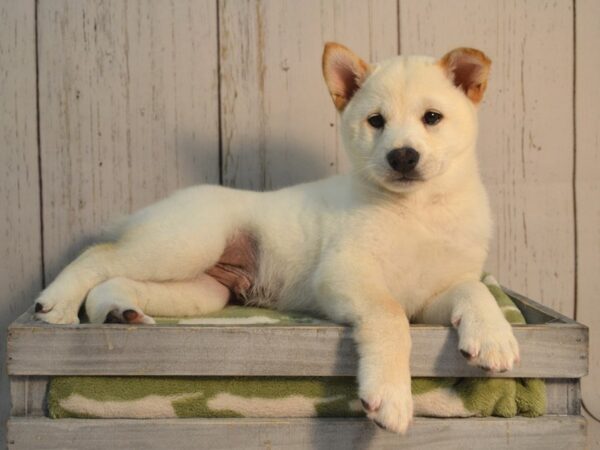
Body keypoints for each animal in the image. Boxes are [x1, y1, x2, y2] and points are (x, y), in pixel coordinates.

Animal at [34, 44, 520, 434]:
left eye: (432, 118)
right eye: (376, 121)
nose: (402, 156)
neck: (418, 211)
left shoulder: (432, 295)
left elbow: (474, 290)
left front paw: (493, 335)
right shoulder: (346, 276)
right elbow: (389, 317)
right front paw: (391, 395)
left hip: (203, 289)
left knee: (117, 282)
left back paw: (121, 313)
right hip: (183, 244)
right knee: (98, 255)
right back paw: (57, 303)